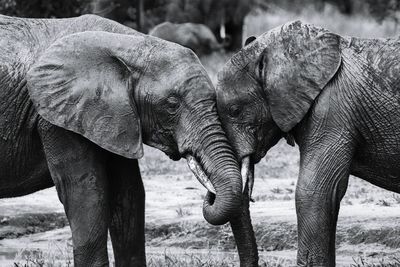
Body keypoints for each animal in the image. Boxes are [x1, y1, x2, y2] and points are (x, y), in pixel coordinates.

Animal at [0, 14, 245, 267]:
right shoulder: (57, 117)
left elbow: (129, 193)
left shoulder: (114, 118)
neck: (130, 44)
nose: (211, 195)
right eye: (172, 105)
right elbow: (86, 194)